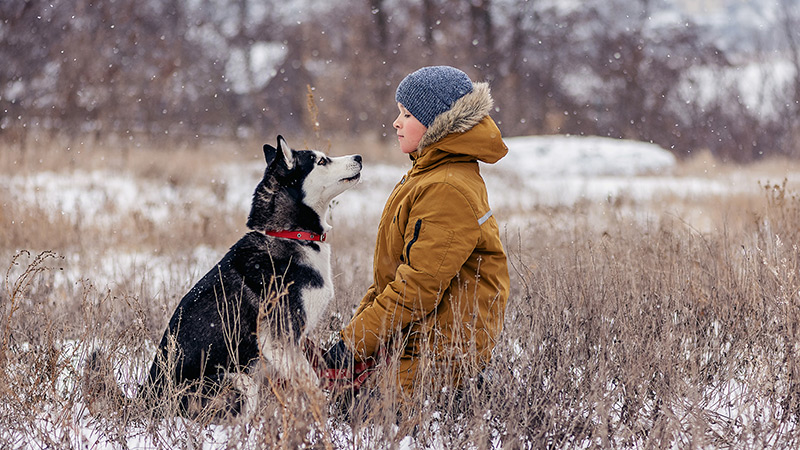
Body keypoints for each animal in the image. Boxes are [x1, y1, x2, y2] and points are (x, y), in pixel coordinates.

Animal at [85, 135, 362, 416]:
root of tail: (148, 397)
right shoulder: (279, 340)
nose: (359, 157)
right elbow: (313, 386)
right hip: (240, 381)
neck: (289, 234)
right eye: (321, 161)